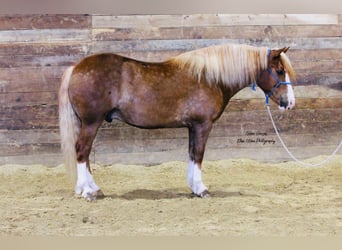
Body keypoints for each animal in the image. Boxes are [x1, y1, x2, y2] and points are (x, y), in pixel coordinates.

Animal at [57, 42, 296, 199]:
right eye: (279, 71)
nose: (290, 103)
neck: (210, 78)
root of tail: (76, 67)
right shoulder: (203, 125)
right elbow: (198, 154)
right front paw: (201, 189)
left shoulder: (192, 126)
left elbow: (191, 154)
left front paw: (193, 187)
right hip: (91, 122)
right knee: (82, 150)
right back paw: (88, 192)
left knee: (85, 154)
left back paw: (94, 188)